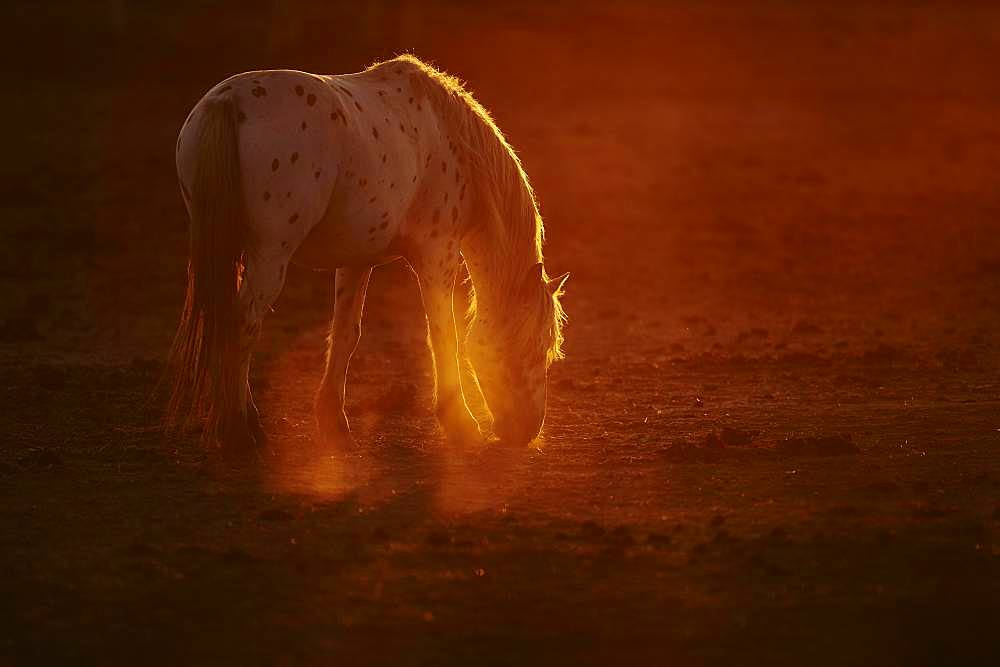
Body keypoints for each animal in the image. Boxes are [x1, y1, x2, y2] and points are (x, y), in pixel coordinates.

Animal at [168, 54, 568, 452]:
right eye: (537, 347)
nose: (528, 431)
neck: (448, 137)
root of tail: (227, 101)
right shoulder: (437, 255)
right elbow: (443, 335)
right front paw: (462, 425)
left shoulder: (356, 261)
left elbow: (347, 334)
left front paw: (334, 422)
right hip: (269, 256)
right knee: (242, 324)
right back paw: (237, 431)